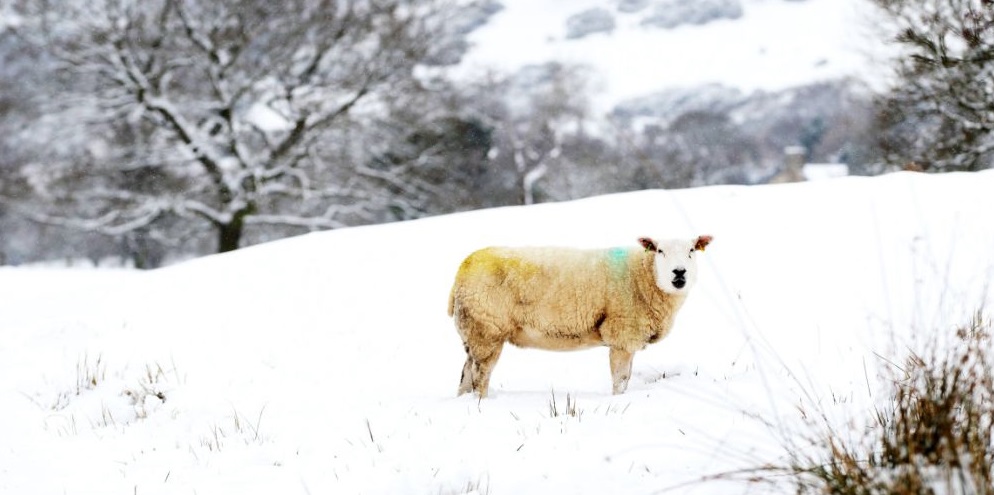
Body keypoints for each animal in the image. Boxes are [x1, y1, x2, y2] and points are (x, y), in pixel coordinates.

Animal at [446, 234, 708, 398]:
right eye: (660, 251)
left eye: (691, 251)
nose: (679, 272)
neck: (644, 276)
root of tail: (463, 269)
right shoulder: (622, 334)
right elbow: (620, 378)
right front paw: (618, 401)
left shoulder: (628, 339)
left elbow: (627, 377)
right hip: (487, 330)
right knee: (480, 375)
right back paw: (482, 403)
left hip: (473, 332)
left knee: (466, 373)